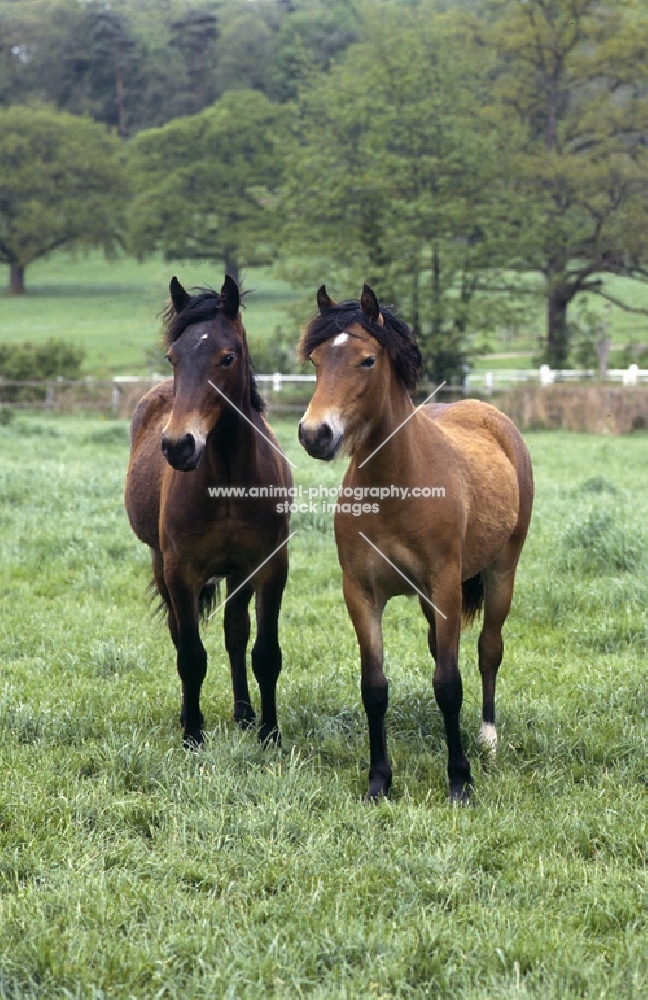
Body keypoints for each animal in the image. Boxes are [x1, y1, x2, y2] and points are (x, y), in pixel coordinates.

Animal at [125, 278, 292, 748]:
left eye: (227, 357)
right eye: (172, 357)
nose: (179, 445)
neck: (229, 481)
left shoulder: (269, 566)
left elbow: (264, 652)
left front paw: (269, 732)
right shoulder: (181, 570)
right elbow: (191, 655)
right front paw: (193, 735)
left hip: (237, 572)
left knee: (235, 634)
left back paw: (244, 714)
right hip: (162, 564)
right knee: (179, 634)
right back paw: (190, 715)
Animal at [298, 286, 532, 800]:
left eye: (367, 360)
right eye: (316, 360)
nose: (314, 434)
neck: (395, 487)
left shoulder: (445, 586)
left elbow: (449, 683)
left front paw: (460, 781)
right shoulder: (362, 594)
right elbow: (375, 687)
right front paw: (379, 781)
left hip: (502, 571)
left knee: (488, 649)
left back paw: (486, 739)